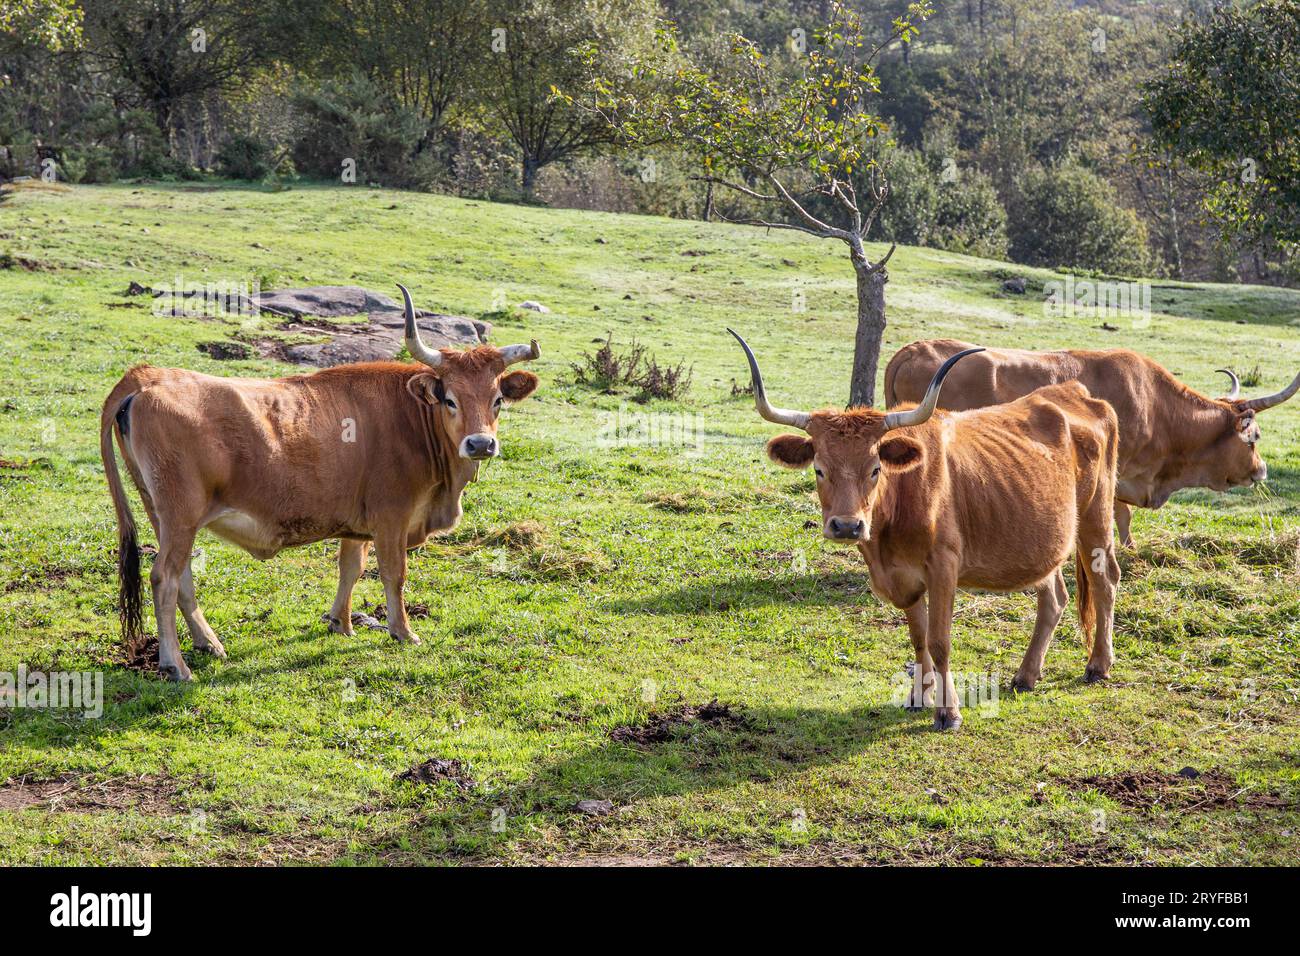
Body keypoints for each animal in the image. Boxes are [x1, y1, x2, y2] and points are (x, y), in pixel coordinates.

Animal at [98, 283, 540, 681]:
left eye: (498, 400)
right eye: (450, 400)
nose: (480, 443)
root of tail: (146, 376)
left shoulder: (359, 522)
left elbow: (351, 568)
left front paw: (340, 623)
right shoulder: (392, 517)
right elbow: (393, 574)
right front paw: (403, 632)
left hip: (166, 515)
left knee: (183, 578)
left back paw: (208, 642)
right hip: (181, 514)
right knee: (164, 579)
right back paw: (175, 664)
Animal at [728, 332, 1123, 728]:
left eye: (875, 469)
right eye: (819, 469)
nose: (847, 525)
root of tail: (1075, 393)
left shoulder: (943, 568)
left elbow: (939, 640)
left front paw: (949, 711)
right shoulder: (904, 577)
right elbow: (918, 637)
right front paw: (920, 694)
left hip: (1096, 517)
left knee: (1104, 581)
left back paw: (1098, 665)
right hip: (1045, 542)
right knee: (1054, 598)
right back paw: (1026, 675)